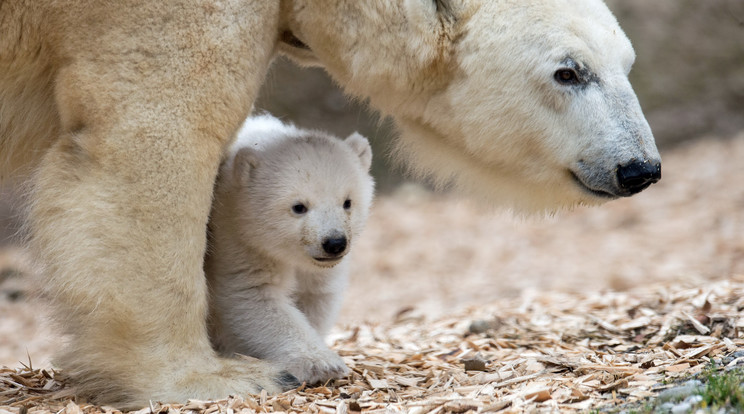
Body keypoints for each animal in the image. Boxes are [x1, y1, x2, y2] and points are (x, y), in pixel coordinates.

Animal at [206, 114, 372, 384]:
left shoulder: (321, 270)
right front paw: (321, 364)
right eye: (299, 206)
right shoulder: (240, 242)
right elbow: (255, 296)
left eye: (347, 202)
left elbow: (315, 295)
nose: (334, 243)